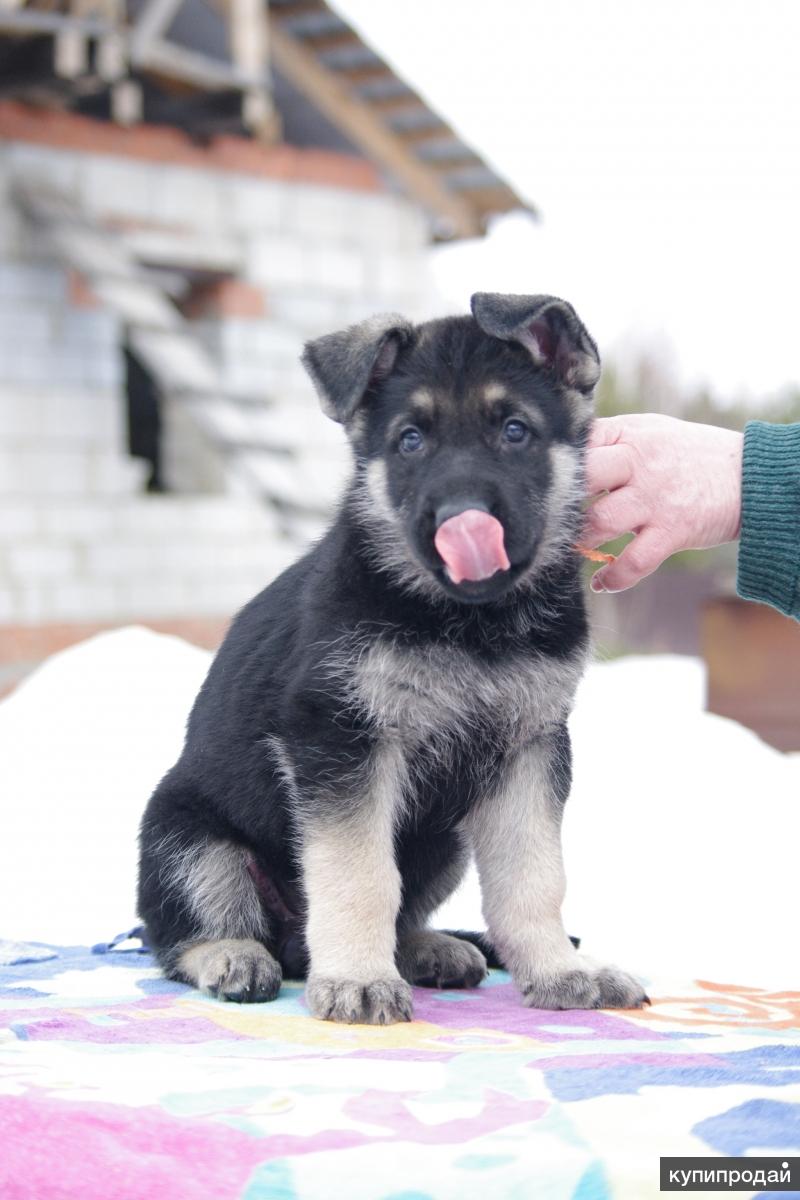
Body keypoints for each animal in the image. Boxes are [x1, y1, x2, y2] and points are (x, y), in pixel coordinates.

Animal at [139, 290, 652, 1022]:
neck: (468, 623)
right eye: (411, 441)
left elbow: (533, 873)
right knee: (180, 935)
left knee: (405, 909)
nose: (462, 518)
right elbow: (359, 872)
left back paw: (427, 949)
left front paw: (558, 968)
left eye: (515, 431)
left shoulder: (531, 748)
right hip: (186, 838)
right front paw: (356, 977)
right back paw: (233, 955)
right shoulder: (340, 741)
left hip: (442, 840)